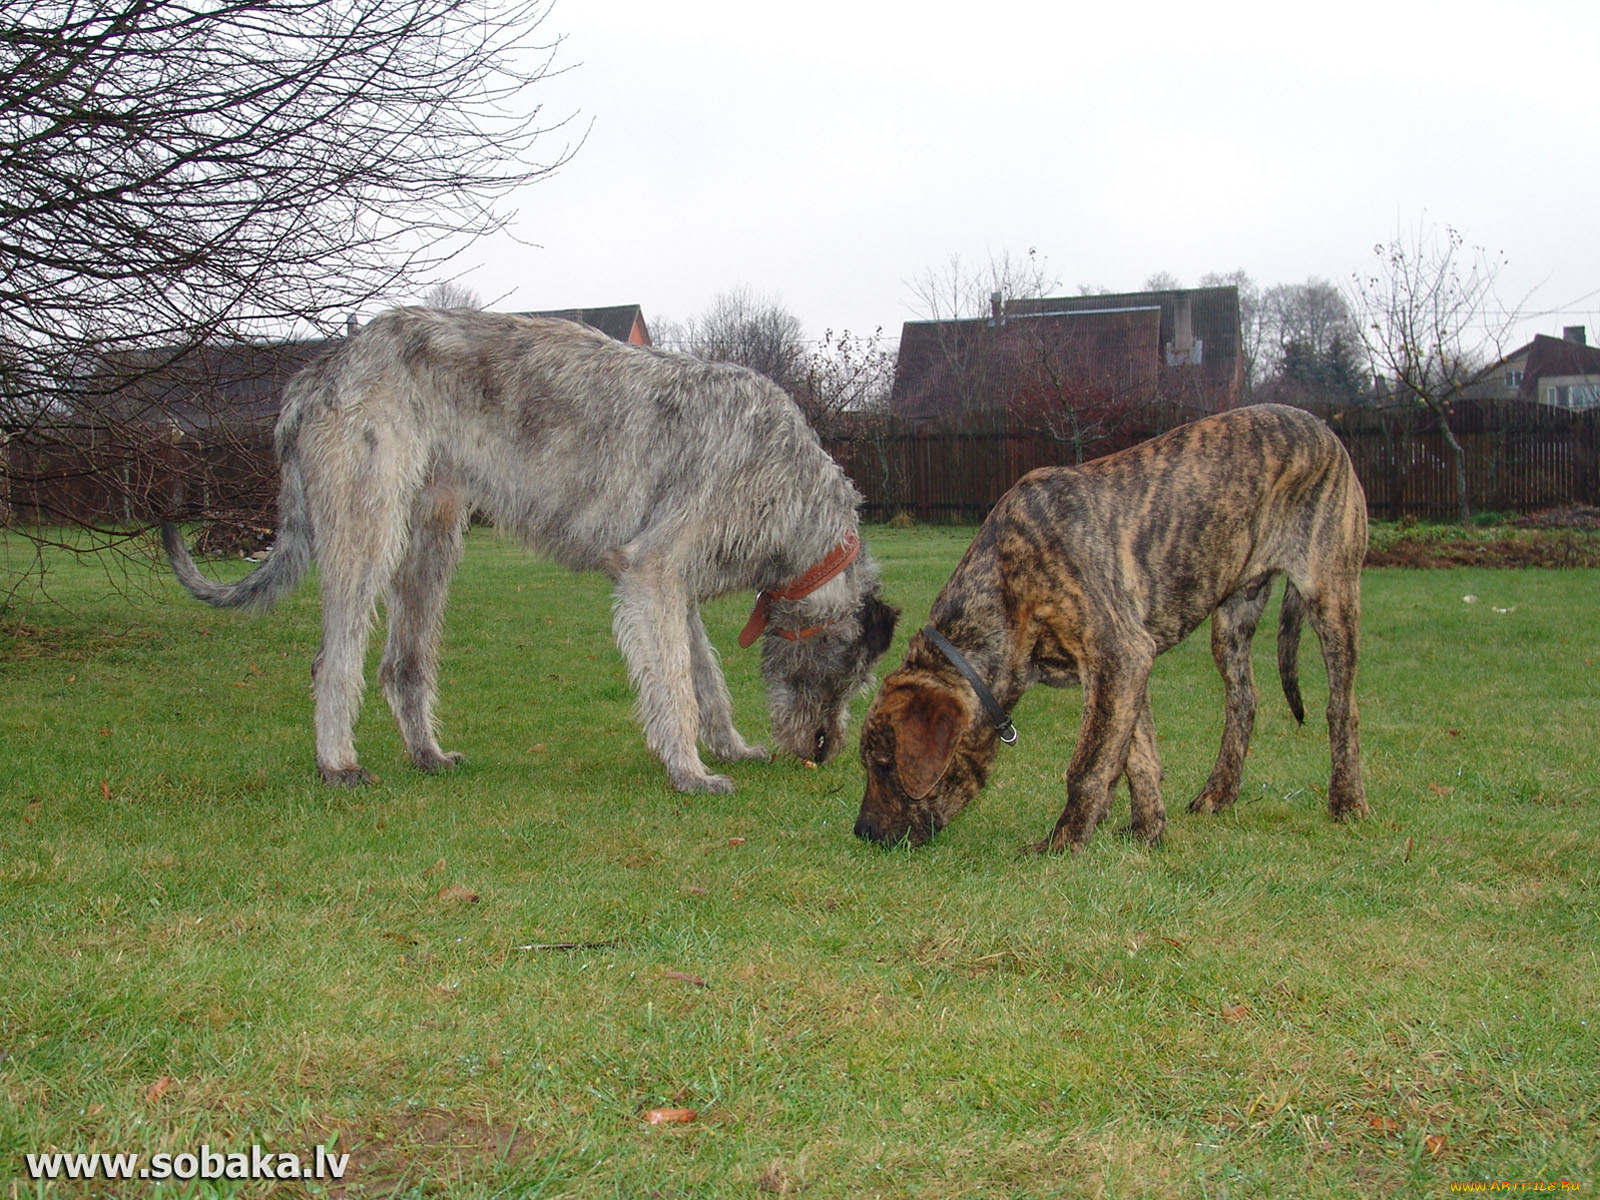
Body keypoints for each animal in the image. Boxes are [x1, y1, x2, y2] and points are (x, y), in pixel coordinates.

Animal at [165, 310, 902, 793]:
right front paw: (690, 771)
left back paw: (427, 755)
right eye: (850, 673)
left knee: (403, 664)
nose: (824, 751)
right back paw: (337, 763)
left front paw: (730, 746)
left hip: (432, 536)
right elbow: (674, 679)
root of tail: (320, 370)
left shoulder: (675, 583)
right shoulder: (655, 568)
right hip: (367, 523)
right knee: (333, 659)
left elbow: (705, 674)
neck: (786, 492)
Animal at [857, 406, 1369, 857]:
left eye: (884, 766)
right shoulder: (1123, 669)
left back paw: (1348, 801)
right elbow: (1136, 758)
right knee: (1243, 700)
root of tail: (1323, 427)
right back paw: (1218, 793)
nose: (863, 832)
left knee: (1341, 707)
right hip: (1233, 618)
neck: (1006, 585)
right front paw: (1147, 830)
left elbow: (1087, 766)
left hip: (1332, 596)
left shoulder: (1119, 655)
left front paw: (1063, 842)